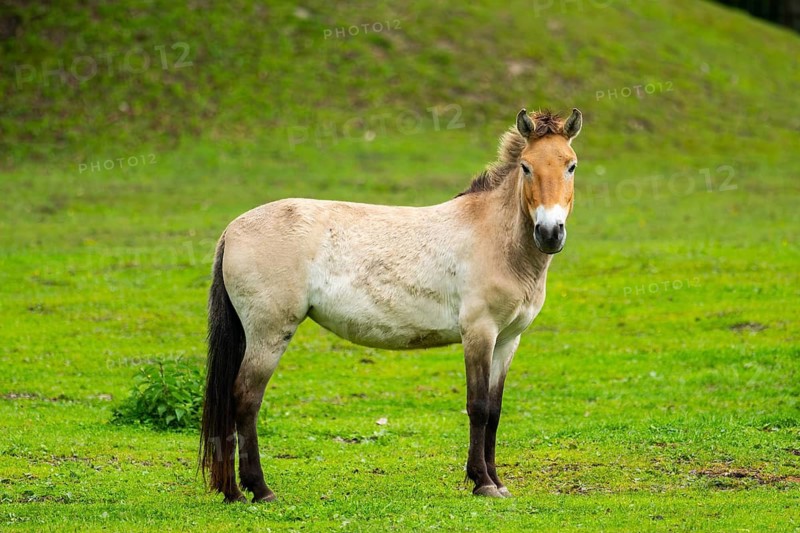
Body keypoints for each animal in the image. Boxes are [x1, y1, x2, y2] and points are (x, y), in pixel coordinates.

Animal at [199, 107, 583, 502]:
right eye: (526, 166)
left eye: (571, 165)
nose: (549, 233)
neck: (494, 237)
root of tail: (232, 229)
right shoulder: (479, 333)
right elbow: (476, 407)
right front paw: (483, 482)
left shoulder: (506, 341)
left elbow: (493, 410)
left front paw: (496, 481)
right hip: (269, 334)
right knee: (245, 399)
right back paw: (259, 489)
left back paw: (235, 490)